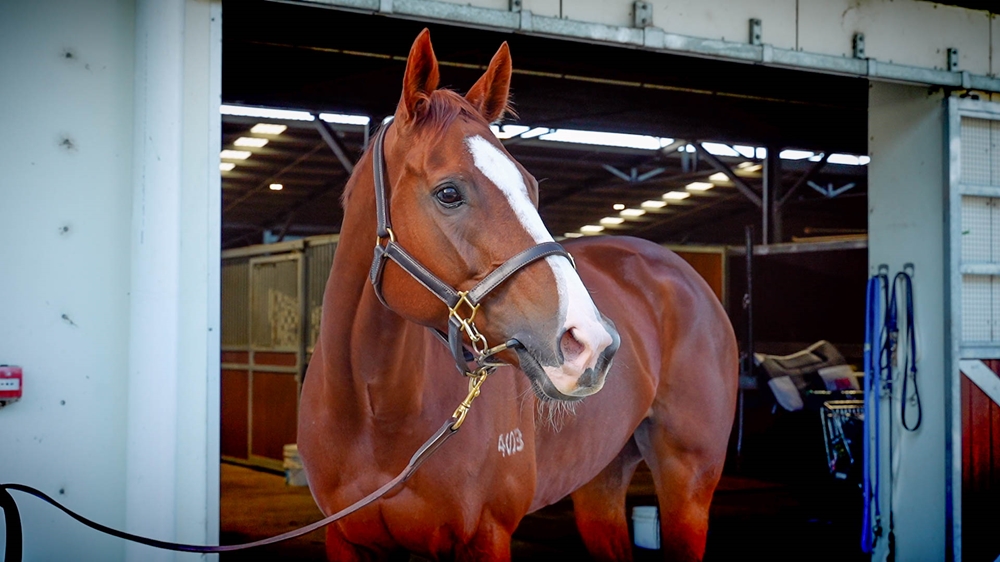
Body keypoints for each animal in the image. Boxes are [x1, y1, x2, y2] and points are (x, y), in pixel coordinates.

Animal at [297, 29, 738, 562]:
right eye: (449, 193)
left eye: (530, 185)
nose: (591, 344)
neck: (374, 411)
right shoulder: (346, 538)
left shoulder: (485, 535)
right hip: (602, 478)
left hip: (688, 483)